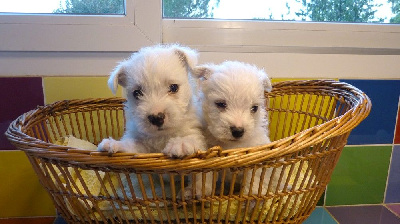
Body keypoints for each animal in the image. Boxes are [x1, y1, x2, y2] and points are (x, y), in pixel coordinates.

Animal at [193, 60, 282, 197]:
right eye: (220, 104)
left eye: (254, 108)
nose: (238, 131)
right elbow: (206, 173)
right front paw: (201, 190)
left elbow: (254, 176)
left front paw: (252, 193)